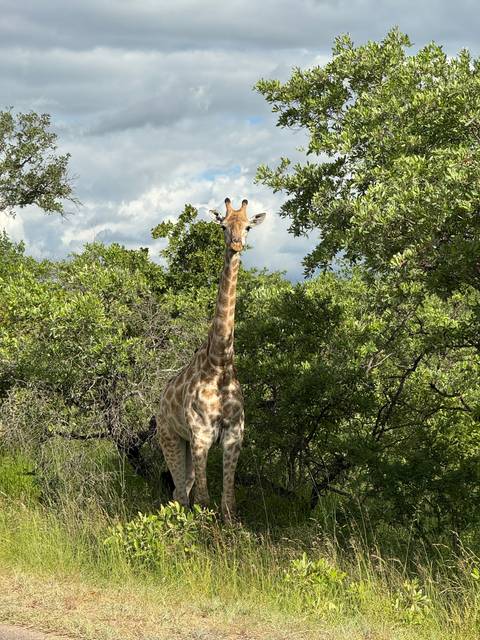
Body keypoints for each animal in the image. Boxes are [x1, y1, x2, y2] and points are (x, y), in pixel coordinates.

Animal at [155, 197, 266, 522]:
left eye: (248, 226)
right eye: (222, 226)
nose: (237, 243)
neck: (219, 364)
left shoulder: (233, 435)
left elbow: (228, 502)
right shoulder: (201, 433)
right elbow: (204, 500)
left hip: (186, 444)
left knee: (182, 490)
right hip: (170, 437)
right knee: (181, 494)